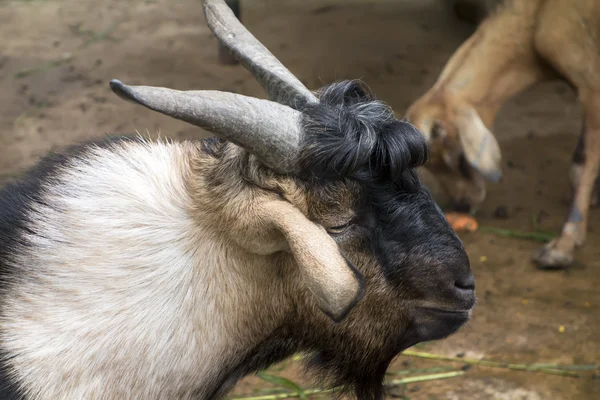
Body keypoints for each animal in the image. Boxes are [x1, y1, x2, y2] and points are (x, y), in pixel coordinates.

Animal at [404, 0, 600, 270]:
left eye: (461, 161)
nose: (462, 205)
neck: (539, 15)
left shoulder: (591, 84)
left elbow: (582, 163)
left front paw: (562, 247)